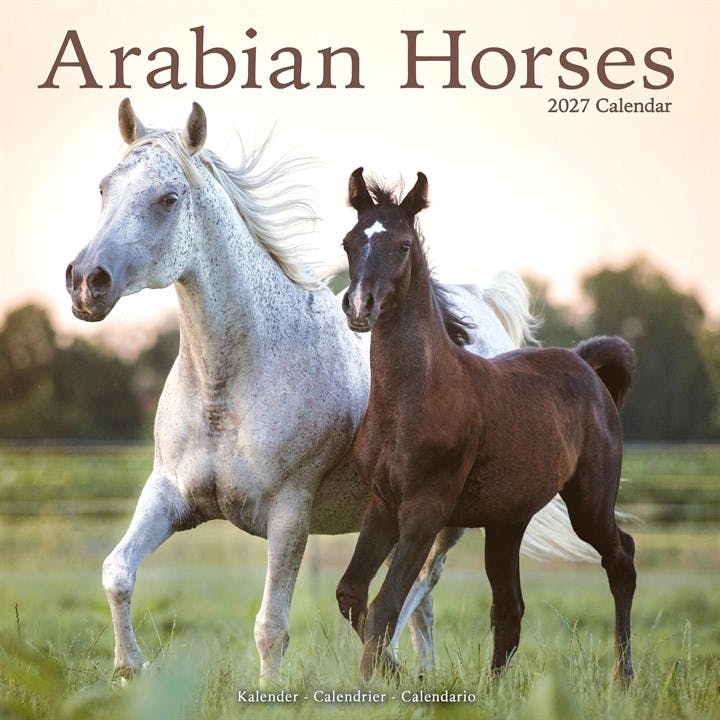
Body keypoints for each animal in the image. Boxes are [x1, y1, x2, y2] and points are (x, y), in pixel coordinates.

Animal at [66, 100, 596, 683]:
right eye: (104, 188)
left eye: (168, 198)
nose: (86, 281)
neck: (226, 387)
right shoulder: (169, 495)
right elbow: (117, 573)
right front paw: (129, 668)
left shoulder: (289, 515)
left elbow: (271, 626)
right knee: (422, 604)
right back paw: (418, 672)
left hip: (449, 519)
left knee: (423, 585)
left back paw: (392, 661)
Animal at [335, 168, 637, 683]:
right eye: (349, 241)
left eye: (403, 246)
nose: (359, 306)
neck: (412, 397)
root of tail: (585, 365)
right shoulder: (382, 505)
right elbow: (352, 595)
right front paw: (403, 675)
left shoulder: (425, 511)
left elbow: (384, 606)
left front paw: (375, 682)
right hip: (506, 521)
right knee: (509, 607)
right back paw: (495, 687)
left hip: (590, 502)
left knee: (623, 560)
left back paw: (624, 677)